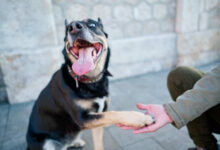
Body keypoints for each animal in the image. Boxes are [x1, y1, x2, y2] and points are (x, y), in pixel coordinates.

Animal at [26, 17, 153, 150]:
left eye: (92, 24)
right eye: (67, 30)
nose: (73, 27)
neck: (92, 81)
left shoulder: (97, 118)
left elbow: (99, 140)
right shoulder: (83, 118)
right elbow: (113, 113)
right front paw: (140, 117)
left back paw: (76, 142)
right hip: (45, 143)